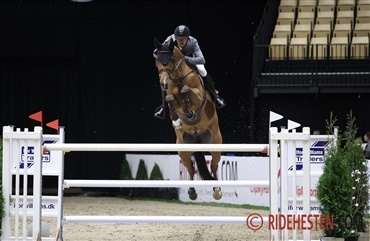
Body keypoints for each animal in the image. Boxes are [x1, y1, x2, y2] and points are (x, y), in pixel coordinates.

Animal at [153, 37, 223, 200]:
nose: (163, 83)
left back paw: (217, 190)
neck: (178, 78)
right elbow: (170, 98)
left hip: (214, 143)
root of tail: (197, 137)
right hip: (183, 149)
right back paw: (191, 191)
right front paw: (176, 117)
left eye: (171, 59)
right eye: (157, 60)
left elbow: (187, 91)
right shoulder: (171, 95)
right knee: (190, 169)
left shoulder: (198, 96)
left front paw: (189, 111)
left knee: (214, 166)